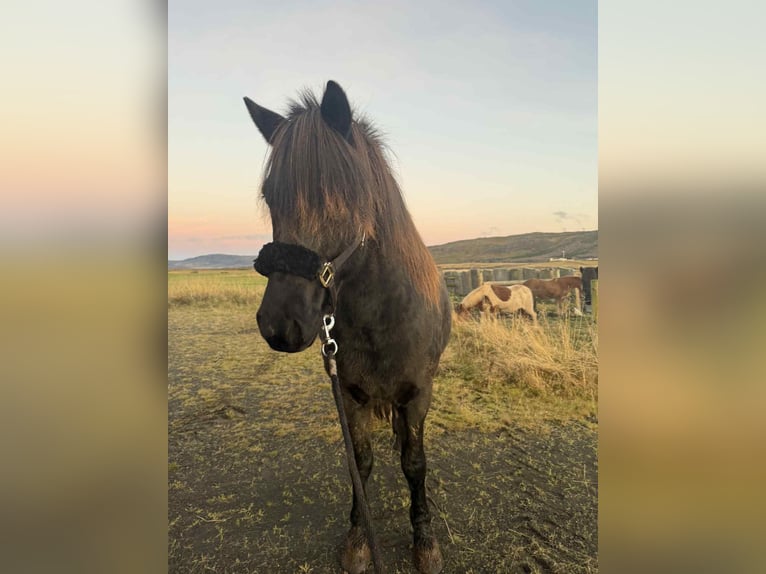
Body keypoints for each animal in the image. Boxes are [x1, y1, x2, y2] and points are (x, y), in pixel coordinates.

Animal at [245, 81, 451, 574]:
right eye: (269, 195)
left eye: (339, 196)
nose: (278, 325)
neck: (383, 317)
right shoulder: (352, 396)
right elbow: (361, 463)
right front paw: (358, 539)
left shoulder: (418, 395)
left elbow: (415, 464)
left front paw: (424, 540)